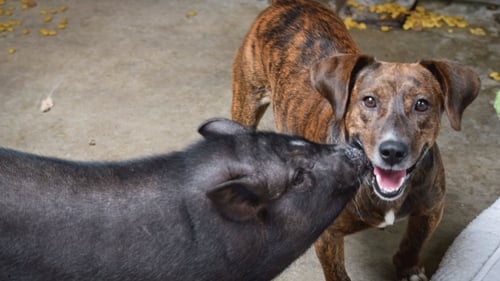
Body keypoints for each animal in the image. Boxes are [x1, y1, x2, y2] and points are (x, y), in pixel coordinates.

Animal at [230, 0, 480, 280]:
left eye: (422, 104)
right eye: (369, 100)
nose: (392, 151)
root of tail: (289, 4)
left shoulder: (431, 208)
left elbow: (415, 241)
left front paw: (408, 268)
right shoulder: (328, 236)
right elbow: (337, 271)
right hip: (247, 100)